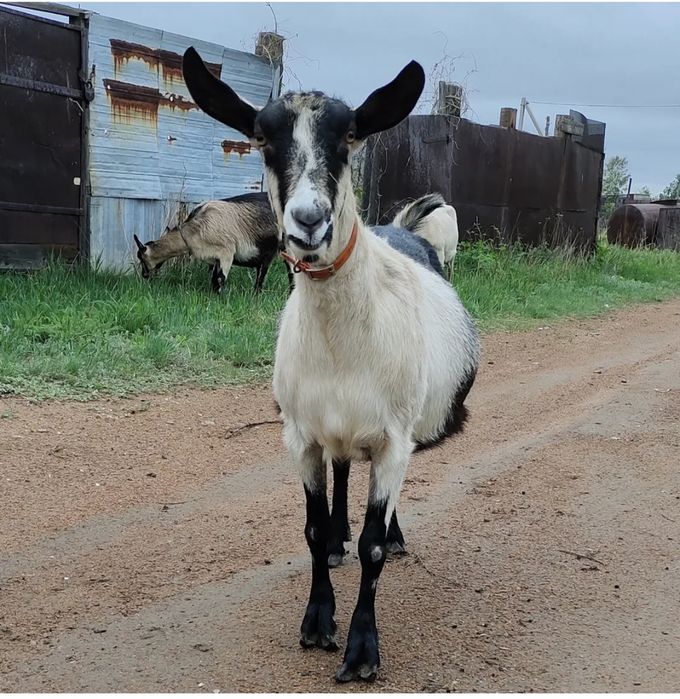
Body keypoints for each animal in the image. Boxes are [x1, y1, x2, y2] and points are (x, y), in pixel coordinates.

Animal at [133, 192, 291, 294]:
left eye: (141, 258)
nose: (144, 275)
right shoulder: (215, 258)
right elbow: (214, 280)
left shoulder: (227, 252)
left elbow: (220, 279)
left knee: (264, 274)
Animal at [183, 48, 480, 683]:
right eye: (261, 137)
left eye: (349, 136)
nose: (309, 220)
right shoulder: (301, 435)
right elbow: (313, 529)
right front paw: (318, 620)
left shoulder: (393, 439)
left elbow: (374, 544)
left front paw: (362, 649)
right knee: (344, 471)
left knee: (378, 505)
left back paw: (391, 535)